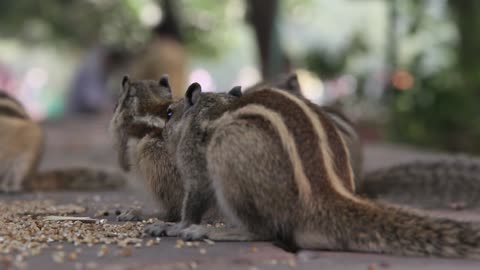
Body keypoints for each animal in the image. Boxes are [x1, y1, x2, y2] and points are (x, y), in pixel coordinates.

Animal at [152, 83, 480, 260]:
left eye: (169, 113)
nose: (160, 132)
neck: (210, 108)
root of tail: (324, 197)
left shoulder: (195, 166)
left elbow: (193, 201)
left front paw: (174, 226)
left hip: (228, 153)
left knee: (262, 230)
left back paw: (216, 232)